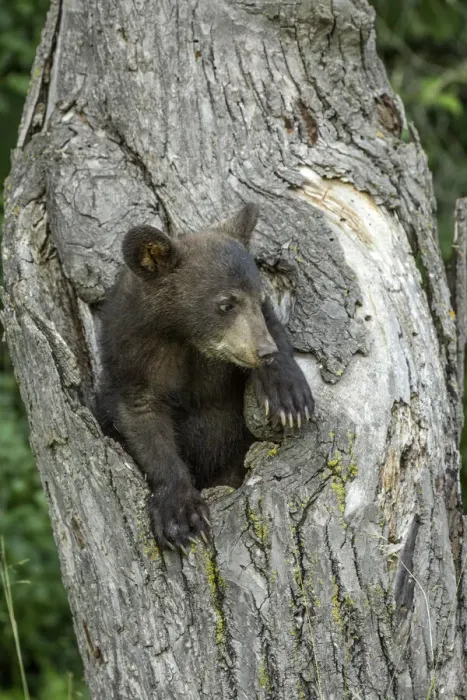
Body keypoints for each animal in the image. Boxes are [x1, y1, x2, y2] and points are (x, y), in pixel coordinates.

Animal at [96, 203, 314, 551]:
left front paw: (289, 395)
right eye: (226, 303)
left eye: (259, 297)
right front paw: (180, 515)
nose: (264, 351)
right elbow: (143, 423)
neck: (185, 339)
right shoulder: (132, 361)